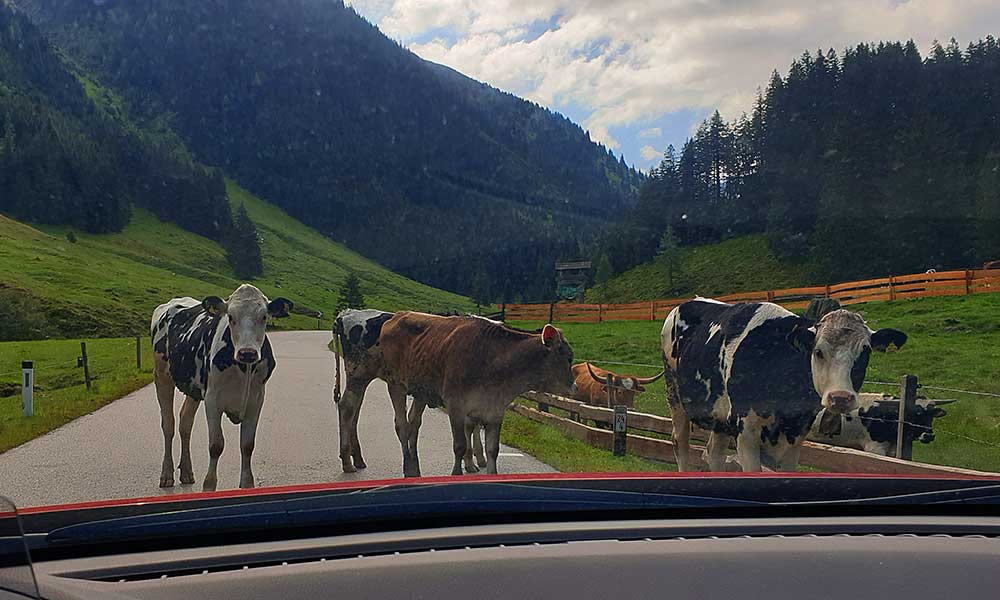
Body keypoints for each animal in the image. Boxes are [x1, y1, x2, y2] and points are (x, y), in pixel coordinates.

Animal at [150, 286, 292, 492]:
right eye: (230, 316)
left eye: (264, 316)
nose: (247, 353)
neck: (243, 369)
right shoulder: (212, 400)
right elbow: (216, 445)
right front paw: (209, 485)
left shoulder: (256, 399)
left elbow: (247, 445)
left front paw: (247, 484)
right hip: (162, 376)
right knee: (168, 425)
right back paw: (167, 474)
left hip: (193, 387)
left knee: (185, 423)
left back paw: (187, 473)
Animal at [376, 314, 580, 478]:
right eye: (569, 357)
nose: (575, 387)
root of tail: (397, 316)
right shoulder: (456, 405)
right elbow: (459, 445)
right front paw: (457, 473)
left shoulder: (495, 409)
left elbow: (493, 449)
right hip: (396, 384)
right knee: (402, 425)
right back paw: (408, 468)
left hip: (421, 391)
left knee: (414, 423)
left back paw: (415, 467)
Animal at [660, 298, 912, 472]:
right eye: (818, 351)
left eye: (865, 352)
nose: (840, 397)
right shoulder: (746, 431)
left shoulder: (796, 435)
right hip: (675, 396)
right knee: (680, 443)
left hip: (720, 418)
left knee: (713, 453)